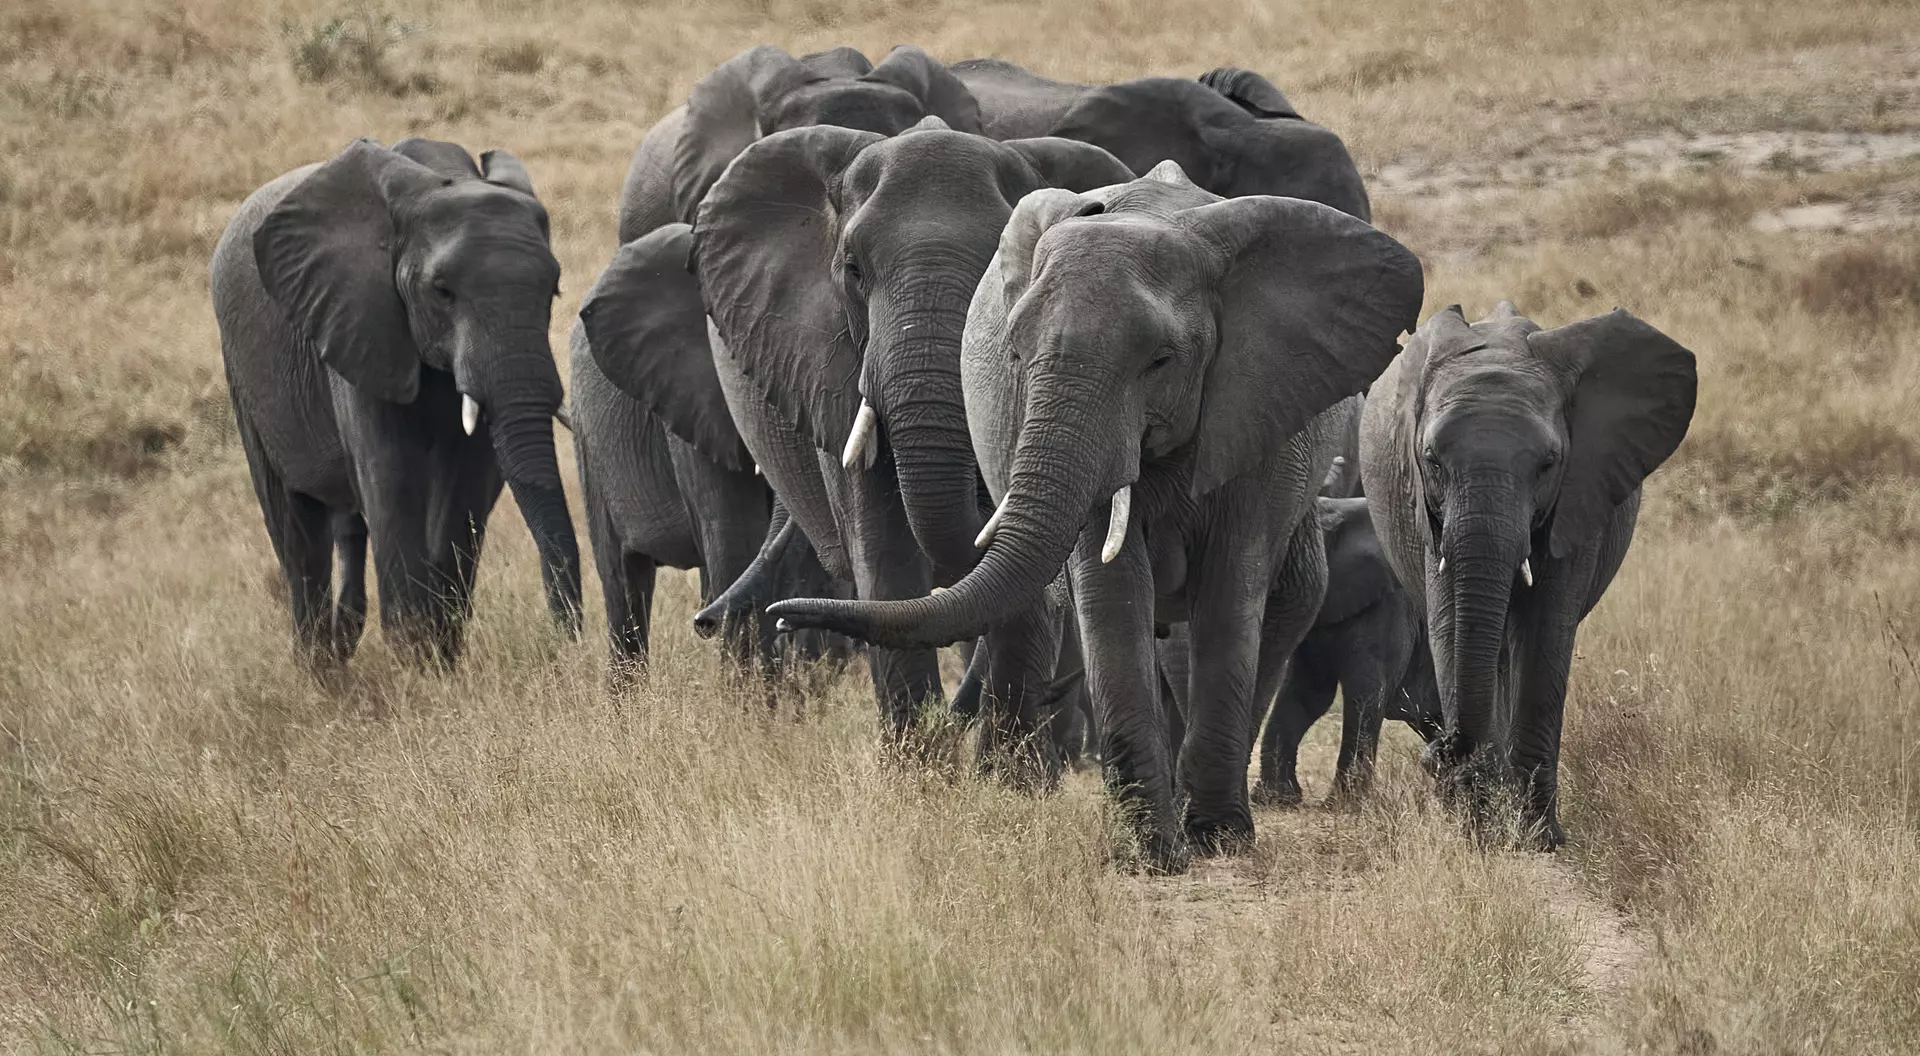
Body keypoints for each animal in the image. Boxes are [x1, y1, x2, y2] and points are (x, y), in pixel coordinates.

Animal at [210, 137, 581, 669]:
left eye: (553, 290)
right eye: (442, 292)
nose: (568, 641)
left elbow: (469, 484)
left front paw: (440, 659)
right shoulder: (361, 319)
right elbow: (392, 475)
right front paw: (418, 666)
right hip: (241, 370)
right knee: (295, 530)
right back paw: (322, 674)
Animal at [587, 120, 1135, 773]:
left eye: (1001, 276)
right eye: (852, 269)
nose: (703, 623)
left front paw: (1001, 782)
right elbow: (887, 552)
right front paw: (921, 778)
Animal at [1359, 302, 1696, 848]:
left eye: (1548, 463)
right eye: (1431, 460)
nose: (1439, 752)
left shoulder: (1580, 491)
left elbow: (1545, 633)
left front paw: (1540, 840)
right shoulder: (1427, 516)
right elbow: (1450, 624)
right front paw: (1484, 832)